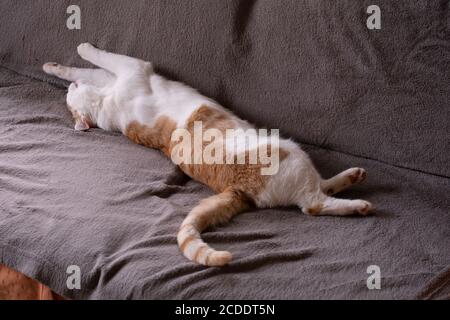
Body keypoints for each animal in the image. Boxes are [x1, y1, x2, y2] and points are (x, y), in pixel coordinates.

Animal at [43, 42, 372, 268]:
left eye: (69, 101)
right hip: (291, 153)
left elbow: (89, 68)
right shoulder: (133, 69)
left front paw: (54, 67)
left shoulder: (115, 77)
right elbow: (104, 57)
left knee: (321, 189)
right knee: (313, 204)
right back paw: (358, 205)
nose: (68, 92)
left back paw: (352, 176)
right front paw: (83, 48)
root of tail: (236, 189)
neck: (106, 105)